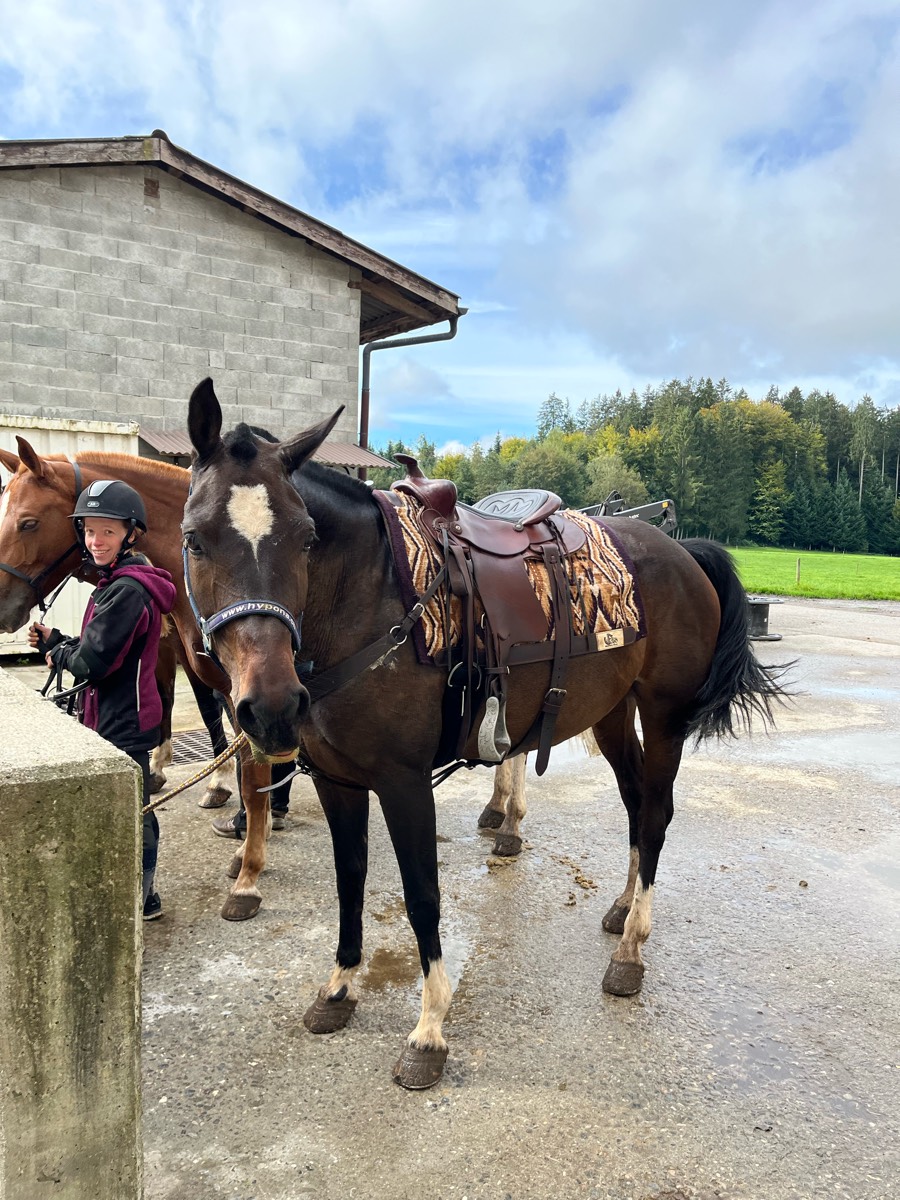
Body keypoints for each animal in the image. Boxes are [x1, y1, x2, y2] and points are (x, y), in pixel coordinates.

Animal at [181, 377, 788, 1088]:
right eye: (195, 540)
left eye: (306, 538)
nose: (272, 705)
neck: (373, 602)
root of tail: (680, 549)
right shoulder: (336, 780)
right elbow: (350, 879)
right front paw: (339, 988)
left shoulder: (403, 783)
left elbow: (422, 896)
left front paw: (429, 1030)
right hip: (612, 712)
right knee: (637, 803)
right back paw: (620, 910)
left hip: (663, 716)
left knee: (658, 812)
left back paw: (632, 951)